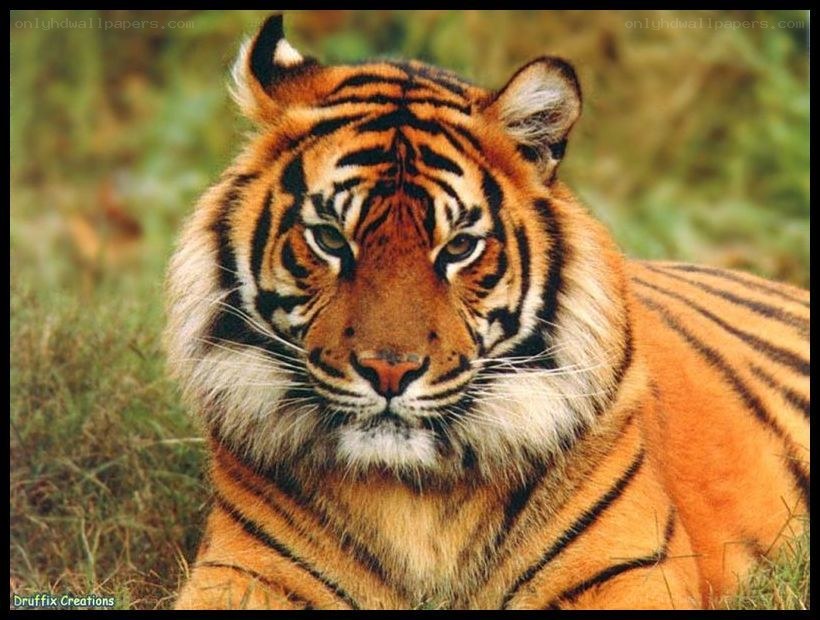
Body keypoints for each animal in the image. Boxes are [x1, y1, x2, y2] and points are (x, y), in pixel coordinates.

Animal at [165, 14, 810, 610]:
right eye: (329, 238)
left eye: (458, 248)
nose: (390, 371)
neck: (413, 500)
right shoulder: (245, 572)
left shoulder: (628, 572)